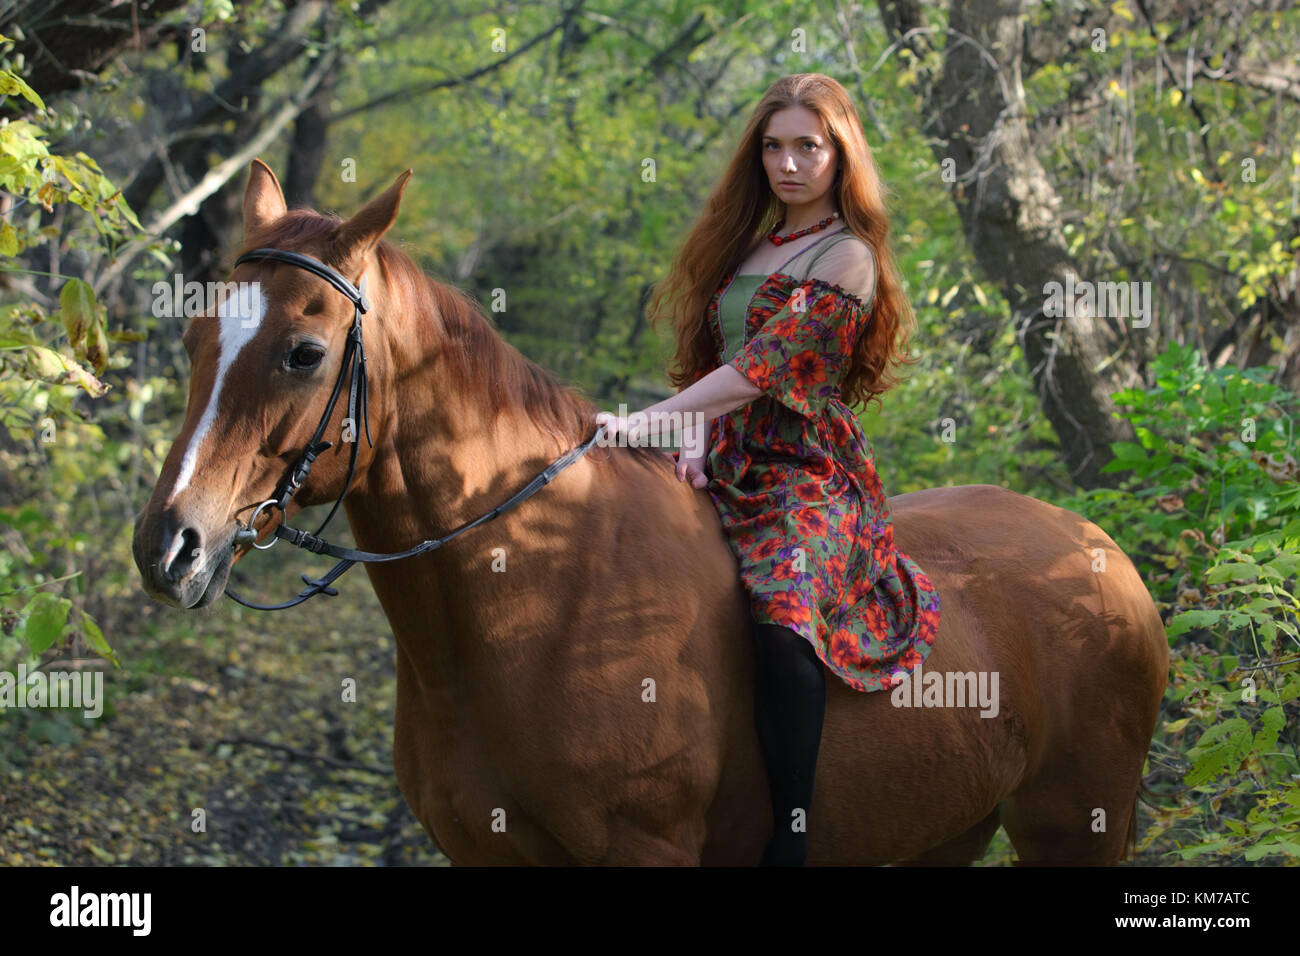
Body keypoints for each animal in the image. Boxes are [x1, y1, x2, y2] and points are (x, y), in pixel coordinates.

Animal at [129, 164, 1170, 868]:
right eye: (194, 333)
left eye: (304, 352)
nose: (169, 546)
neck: (534, 593)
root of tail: (1100, 550)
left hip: (1075, 825)